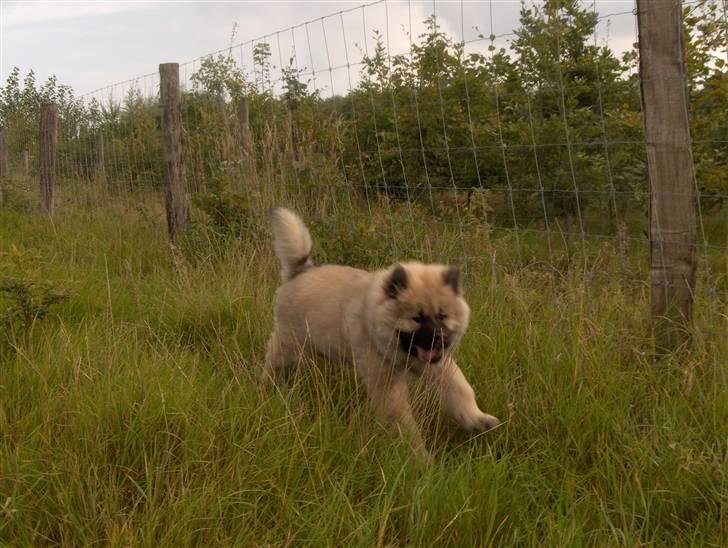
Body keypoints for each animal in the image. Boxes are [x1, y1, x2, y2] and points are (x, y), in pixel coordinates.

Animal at [262, 208, 500, 460]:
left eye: (443, 316)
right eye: (417, 318)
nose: (441, 340)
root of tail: (299, 272)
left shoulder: (439, 367)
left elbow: (460, 391)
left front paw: (478, 419)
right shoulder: (387, 385)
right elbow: (403, 423)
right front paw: (420, 458)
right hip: (289, 346)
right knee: (273, 364)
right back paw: (267, 388)